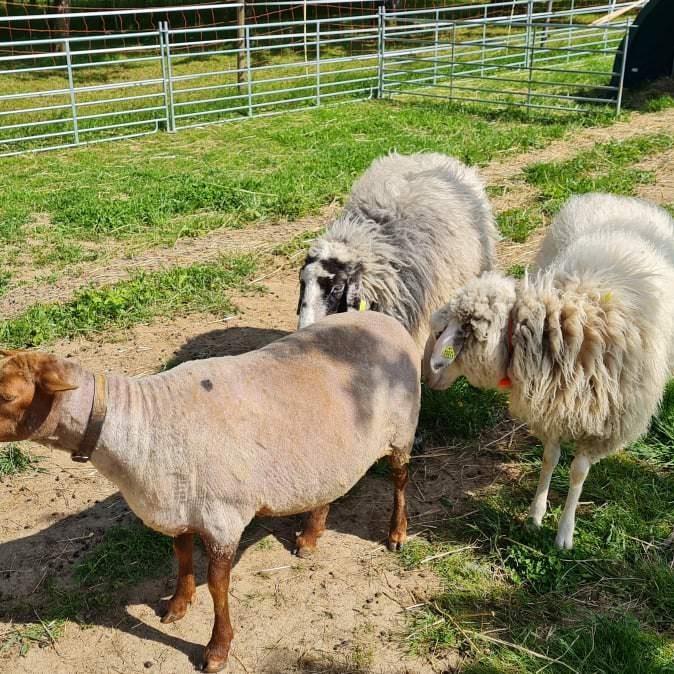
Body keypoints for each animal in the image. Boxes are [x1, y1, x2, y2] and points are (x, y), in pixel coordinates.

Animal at [0, 310, 420, 672]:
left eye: (7, 396)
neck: (141, 424)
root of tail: (382, 317)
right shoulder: (180, 503)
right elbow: (182, 555)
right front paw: (177, 605)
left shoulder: (223, 517)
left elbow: (219, 585)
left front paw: (217, 649)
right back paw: (310, 537)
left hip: (402, 430)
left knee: (400, 480)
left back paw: (396, 533)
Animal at [423, 193, 674, 550]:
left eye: (448, 333)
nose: (429, 375)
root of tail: (618, 198)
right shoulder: (552, 406)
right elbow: (549, 459)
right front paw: (535, 515)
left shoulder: (602, 424)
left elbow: (578, 471)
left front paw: (565, 532)